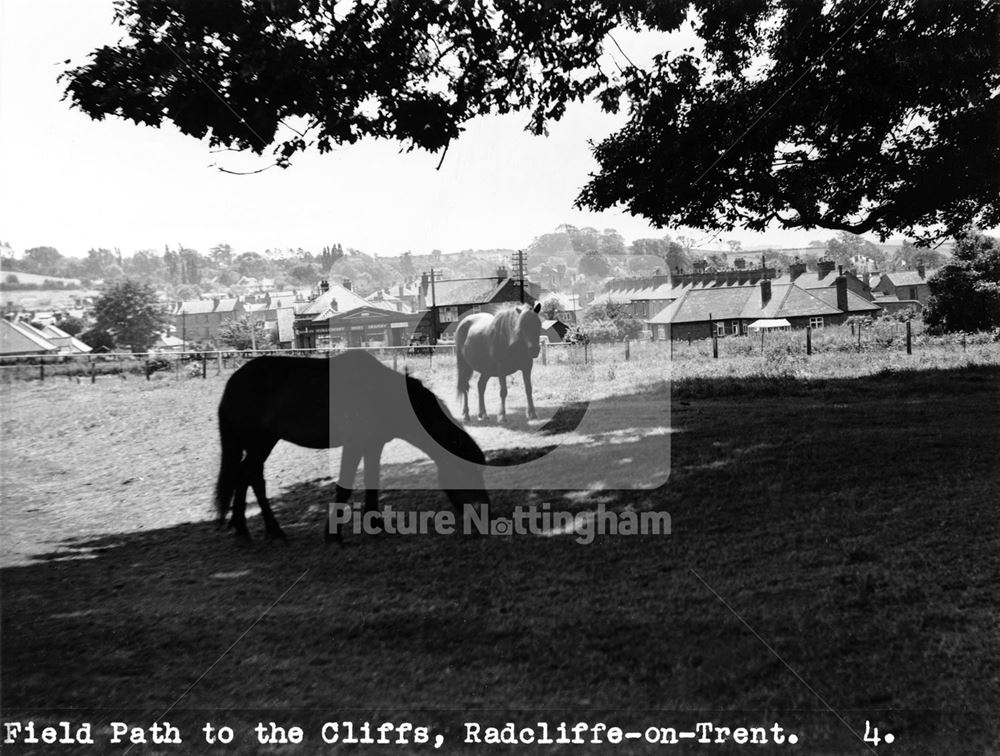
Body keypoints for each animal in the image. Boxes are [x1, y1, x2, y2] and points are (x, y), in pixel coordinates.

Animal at [215, 352, 488, 540]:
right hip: (260, 443)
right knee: (250, 476)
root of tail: (232, 385)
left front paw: (376, 524)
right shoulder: (355, 444)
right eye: (467, 471)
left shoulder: (373, 445)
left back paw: (243, 528)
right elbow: (345, 487)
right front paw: (333, 534)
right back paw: (270, 530)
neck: (379, 393)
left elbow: (371, 482)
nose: (483, 514)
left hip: (261, 443)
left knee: (245, 476)